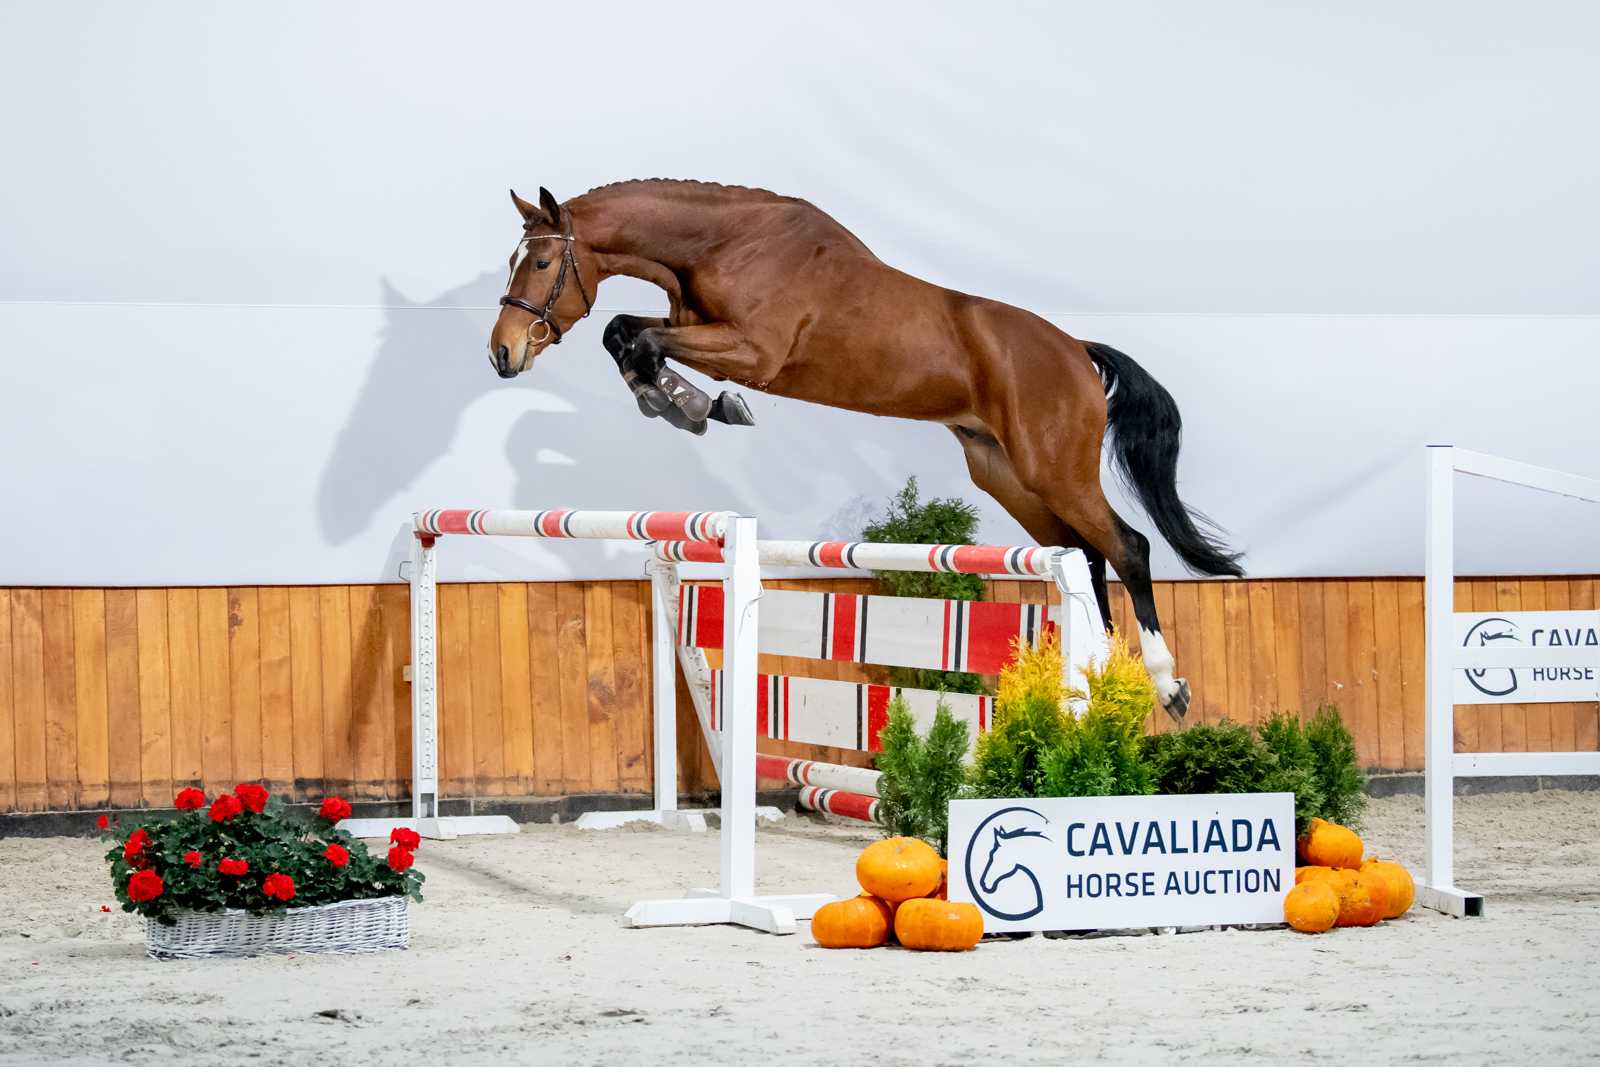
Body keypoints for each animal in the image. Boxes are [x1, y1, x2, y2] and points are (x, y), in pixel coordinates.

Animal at [487, 180, 1244, 720]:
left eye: (545, 262)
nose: (503, 353)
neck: (723, 243)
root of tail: (1076, 352)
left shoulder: (753, 350)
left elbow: (636, 337)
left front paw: (701, 406)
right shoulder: (696, 330)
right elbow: (624, 332)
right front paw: (678, 402)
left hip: (1052, 467)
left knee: (1128, 546)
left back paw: (1166, 685)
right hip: (1006, 474)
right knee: (1086, 553)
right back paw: (1106, 678)